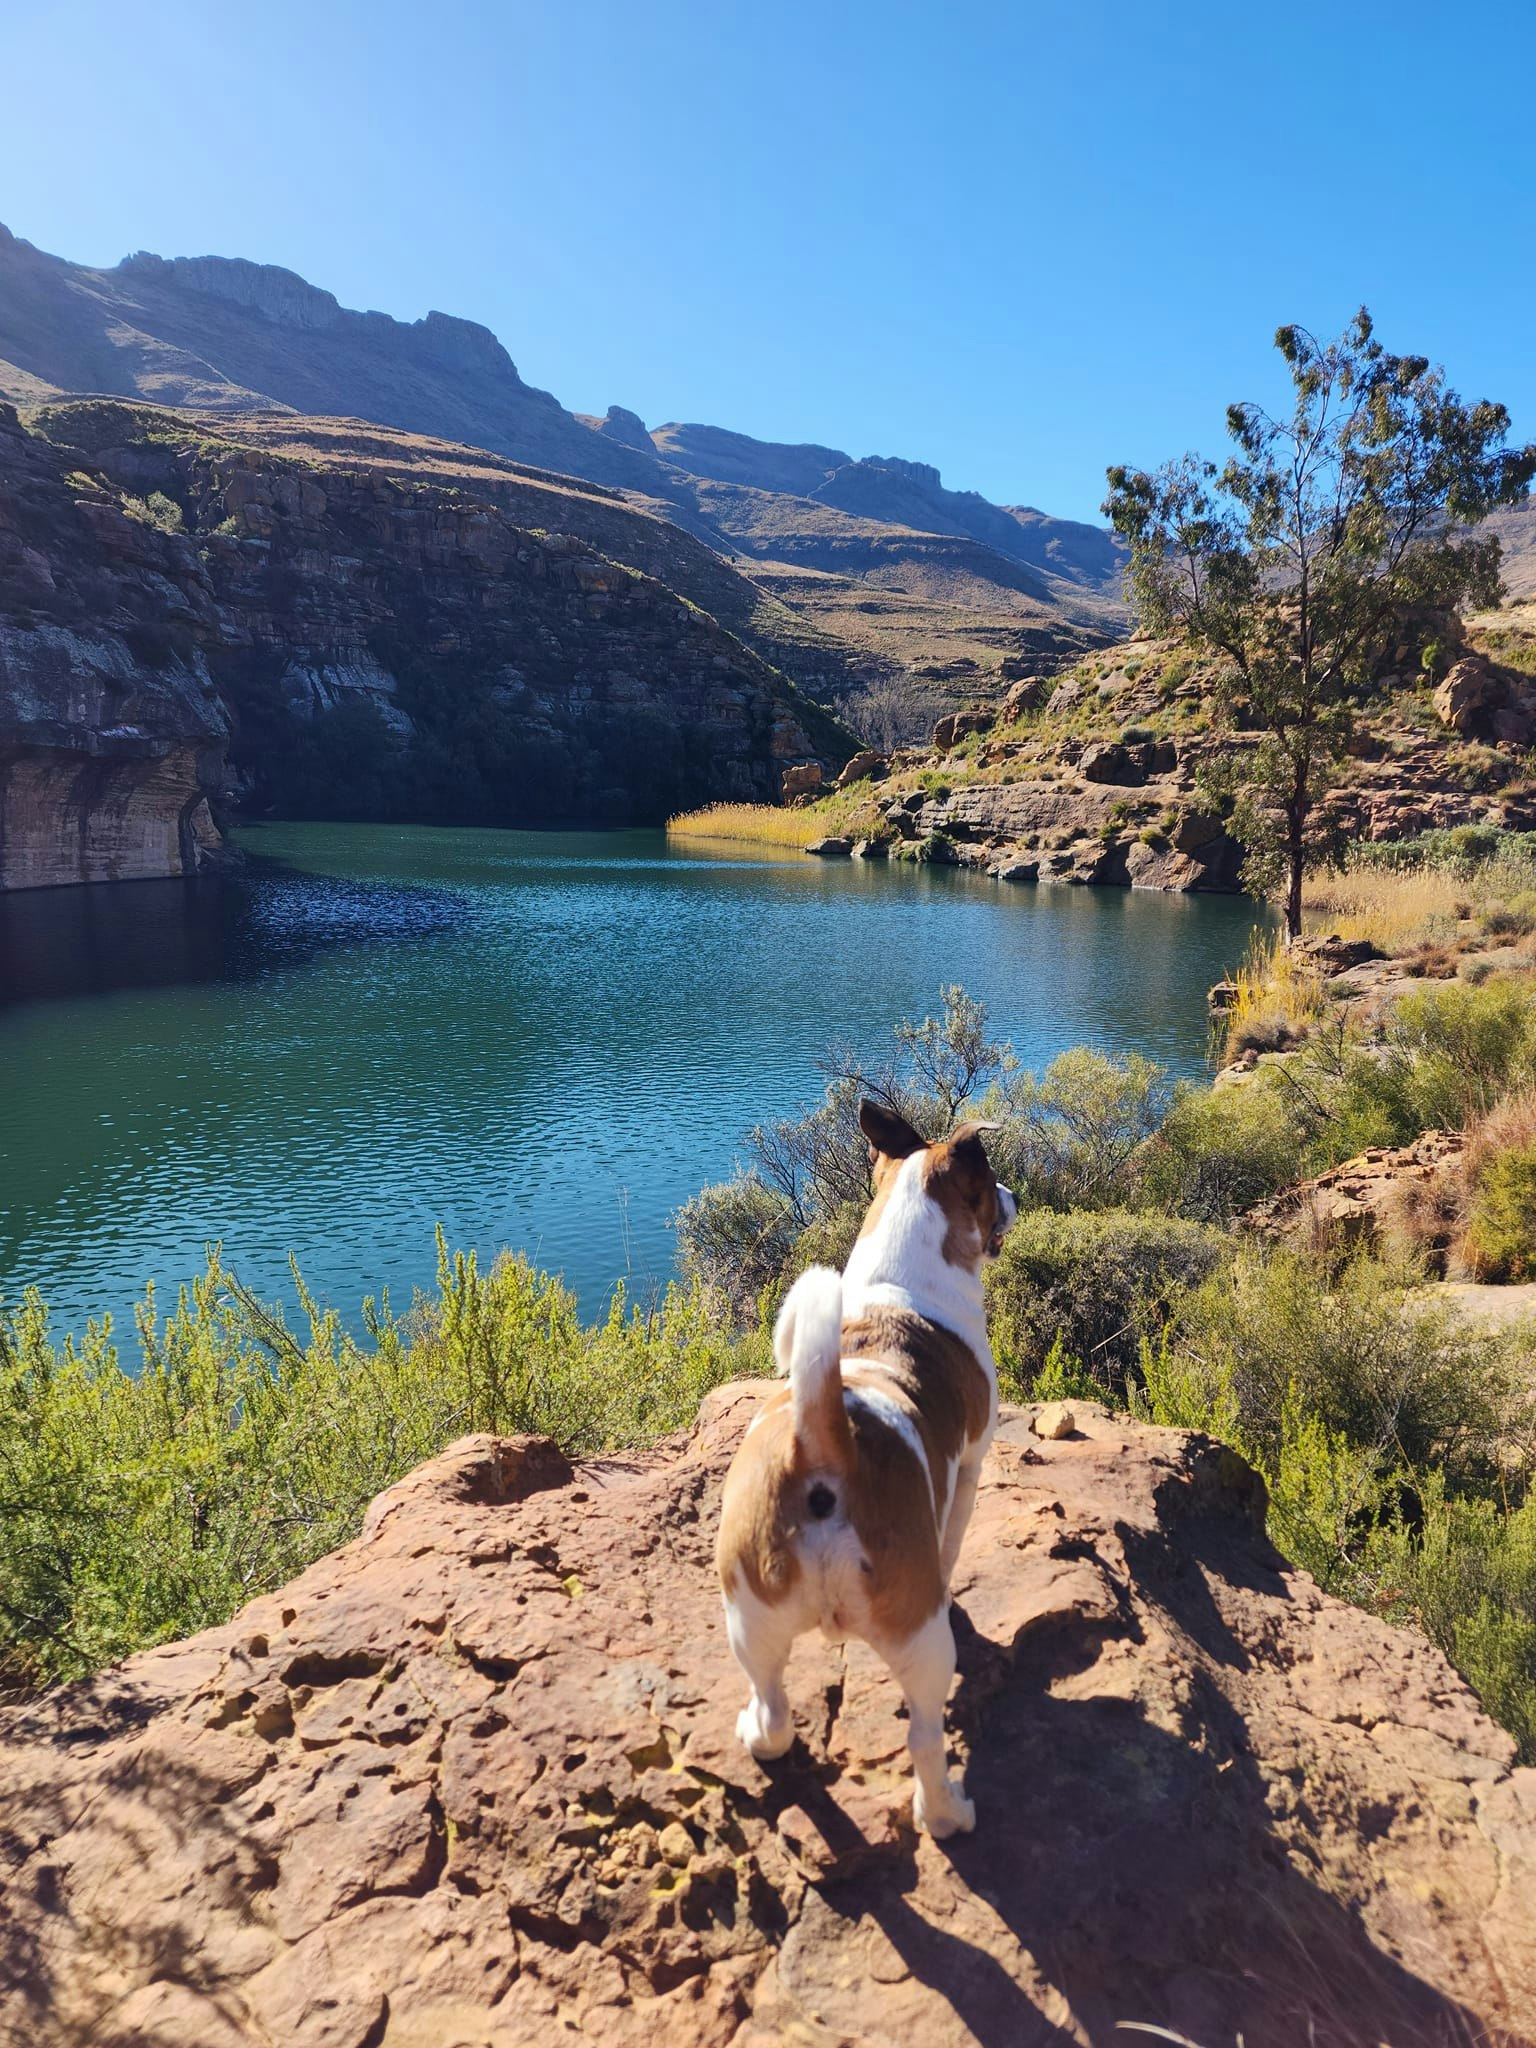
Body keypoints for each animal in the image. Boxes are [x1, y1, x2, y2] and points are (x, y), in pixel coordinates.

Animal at [715, 1097, 1017, 1837]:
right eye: (988, 1187)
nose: (1014, 1195)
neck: (895, 1277)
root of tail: (825, 1446)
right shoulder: (970, 1466)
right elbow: (954, 1537)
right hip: (922, 1641)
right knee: (925, 1738)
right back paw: (948, 1813)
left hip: (749, 1617)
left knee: (773, 1709)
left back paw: (757, 1736)